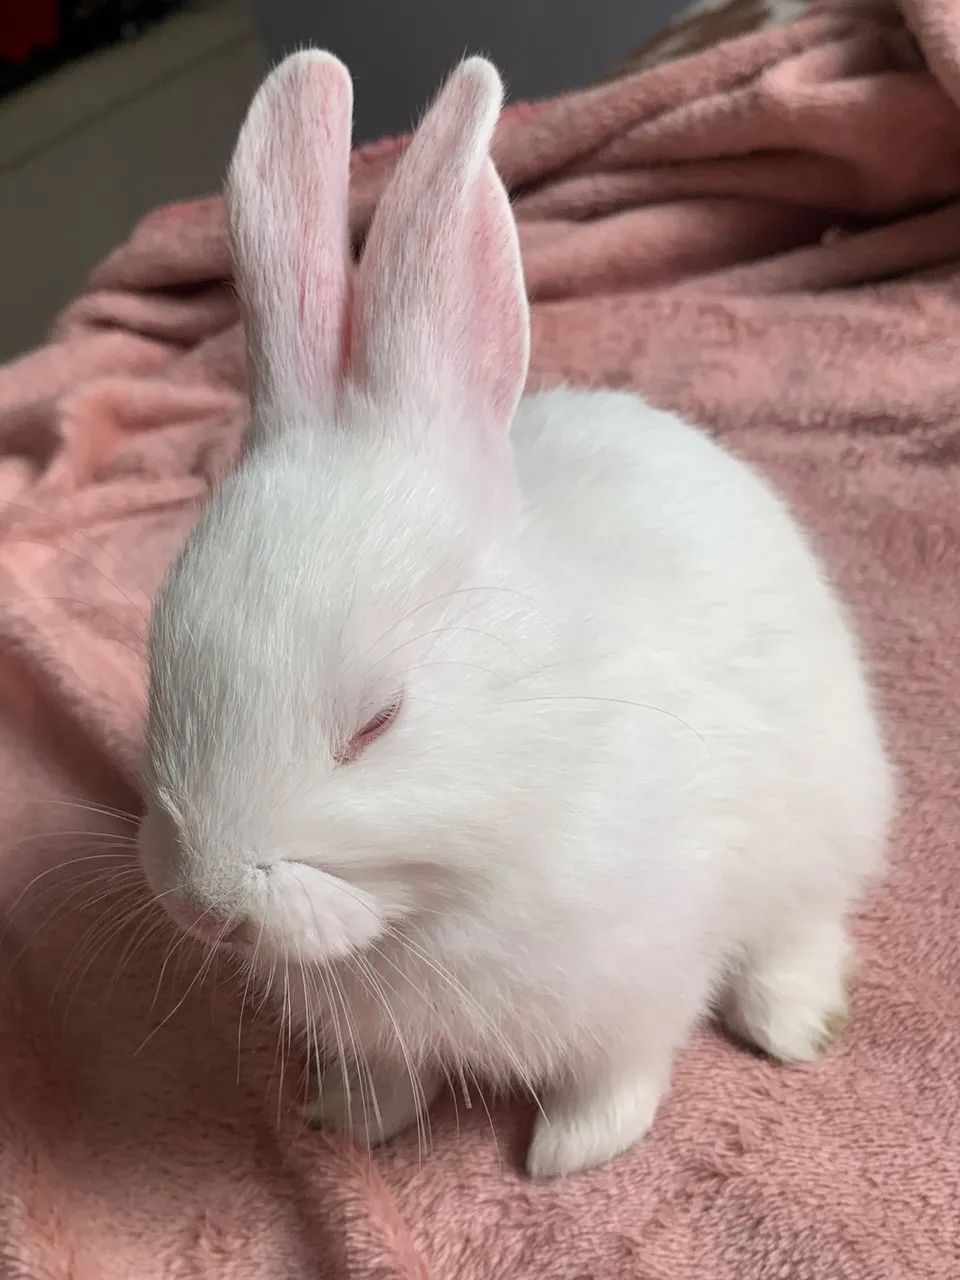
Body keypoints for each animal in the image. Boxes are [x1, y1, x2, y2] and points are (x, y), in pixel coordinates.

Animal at [137, 50, 894, 1179]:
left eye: (377, 723)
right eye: (158, 677)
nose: (209, 903)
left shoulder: (641, 979)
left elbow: (618, 1074)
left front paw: (568, 1155)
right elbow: (385, 1078)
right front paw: (350, 1119)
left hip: (825, 816)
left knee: (803, 928)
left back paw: (793, 1023)